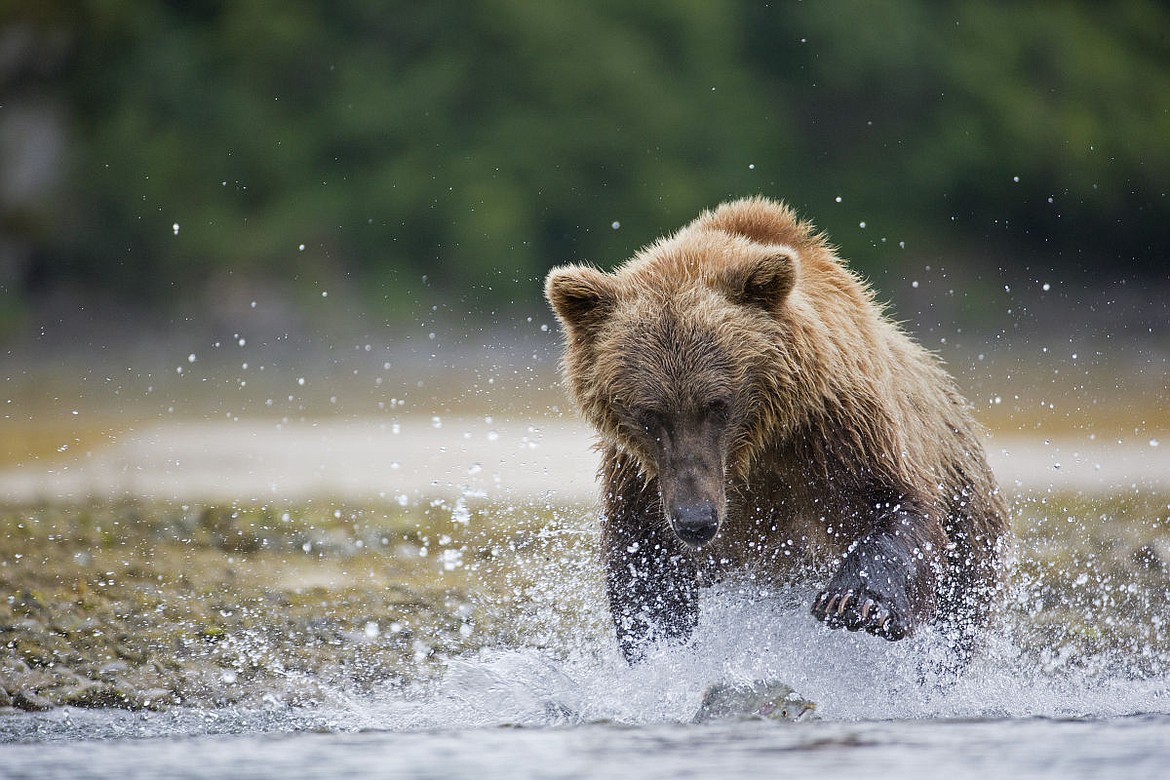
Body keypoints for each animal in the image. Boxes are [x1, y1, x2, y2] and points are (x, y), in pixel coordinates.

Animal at [542, 196, 1010, 664]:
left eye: (717, 405)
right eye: (649, 413)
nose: (696, 521)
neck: (753, 445)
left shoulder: (834, 425)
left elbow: (893, 501)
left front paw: (854, 601)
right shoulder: (642, 471)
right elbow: (644, 555)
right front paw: (662, 634)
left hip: (970, 516)